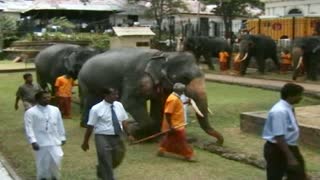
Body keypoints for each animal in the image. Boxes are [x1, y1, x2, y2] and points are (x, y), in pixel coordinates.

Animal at [78, 47, 224, 145]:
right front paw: (134, 132)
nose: (216, 142)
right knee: (90, 101)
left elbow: (159, 104)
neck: (163, 54)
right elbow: (129, 102)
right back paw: (87, 126)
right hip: (86, 82)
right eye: (185, 78)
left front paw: (152, 137)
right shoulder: (135, 77)